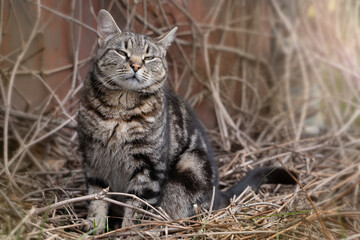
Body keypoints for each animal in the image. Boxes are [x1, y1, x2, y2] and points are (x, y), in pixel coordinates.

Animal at [77, 9, 296, 232]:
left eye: (149, 57)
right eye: (122, 52)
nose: (136, 65)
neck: (120, 109)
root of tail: (217, 194)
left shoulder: (149, 168)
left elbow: (137, 208)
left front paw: (128, 232)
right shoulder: (93, 159)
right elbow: (96, 200)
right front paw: (94, 228)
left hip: (190, 167)